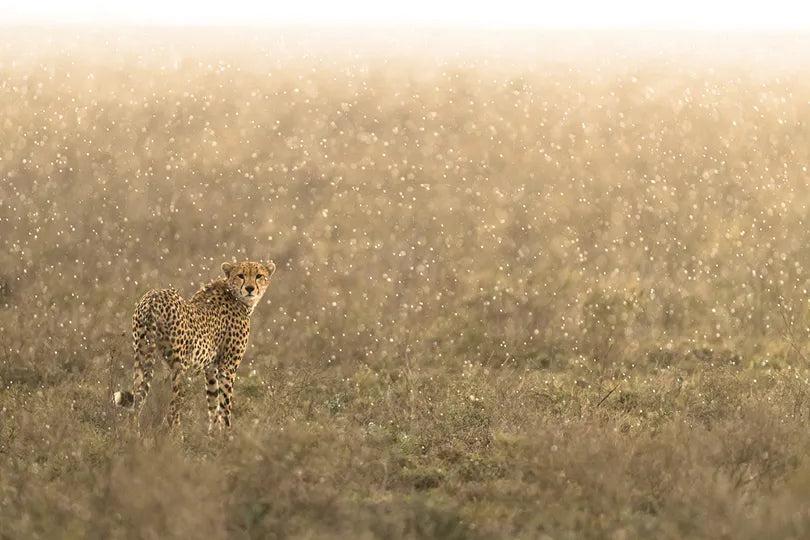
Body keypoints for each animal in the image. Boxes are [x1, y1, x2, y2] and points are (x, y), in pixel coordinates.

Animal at [113, 260, 276, 433]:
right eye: (241, 275)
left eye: (259, 276)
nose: (250, 288)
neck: (234, 294)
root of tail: (153, 297)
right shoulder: (227, 368)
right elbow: (225, 406)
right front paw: (227, 435)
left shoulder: (211, 368)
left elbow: (213, 403)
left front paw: (213, 434)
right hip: (180, 367)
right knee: (172, 410)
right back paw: (177, 437)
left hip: (141, 355)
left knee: (136, 402)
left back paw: (132, 435)